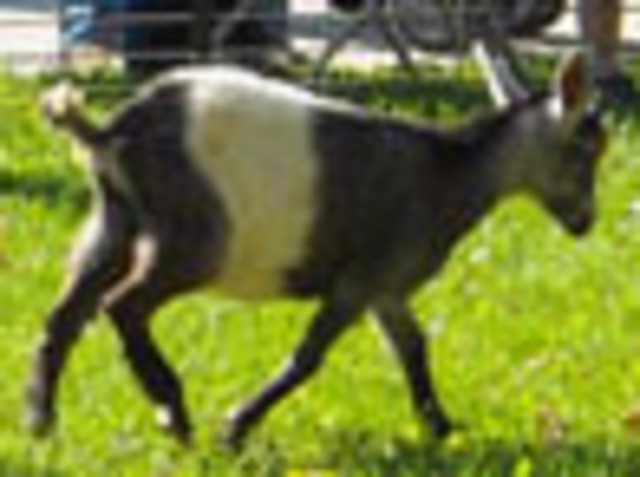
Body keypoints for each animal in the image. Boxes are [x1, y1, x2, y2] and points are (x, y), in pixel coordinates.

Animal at [28, 49, 606, 449]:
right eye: (587, 147)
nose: (585, 223)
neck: (448, 172)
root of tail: (110, 134)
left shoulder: (385, 287)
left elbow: (413, 349)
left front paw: (442, 429)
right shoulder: (360, 281)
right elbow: (308, 359)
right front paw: (235, 428)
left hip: (114, 222)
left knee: (64, 319)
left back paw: (41, 423)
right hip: (192, 238)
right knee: (123, 306)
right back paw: (173, 410)